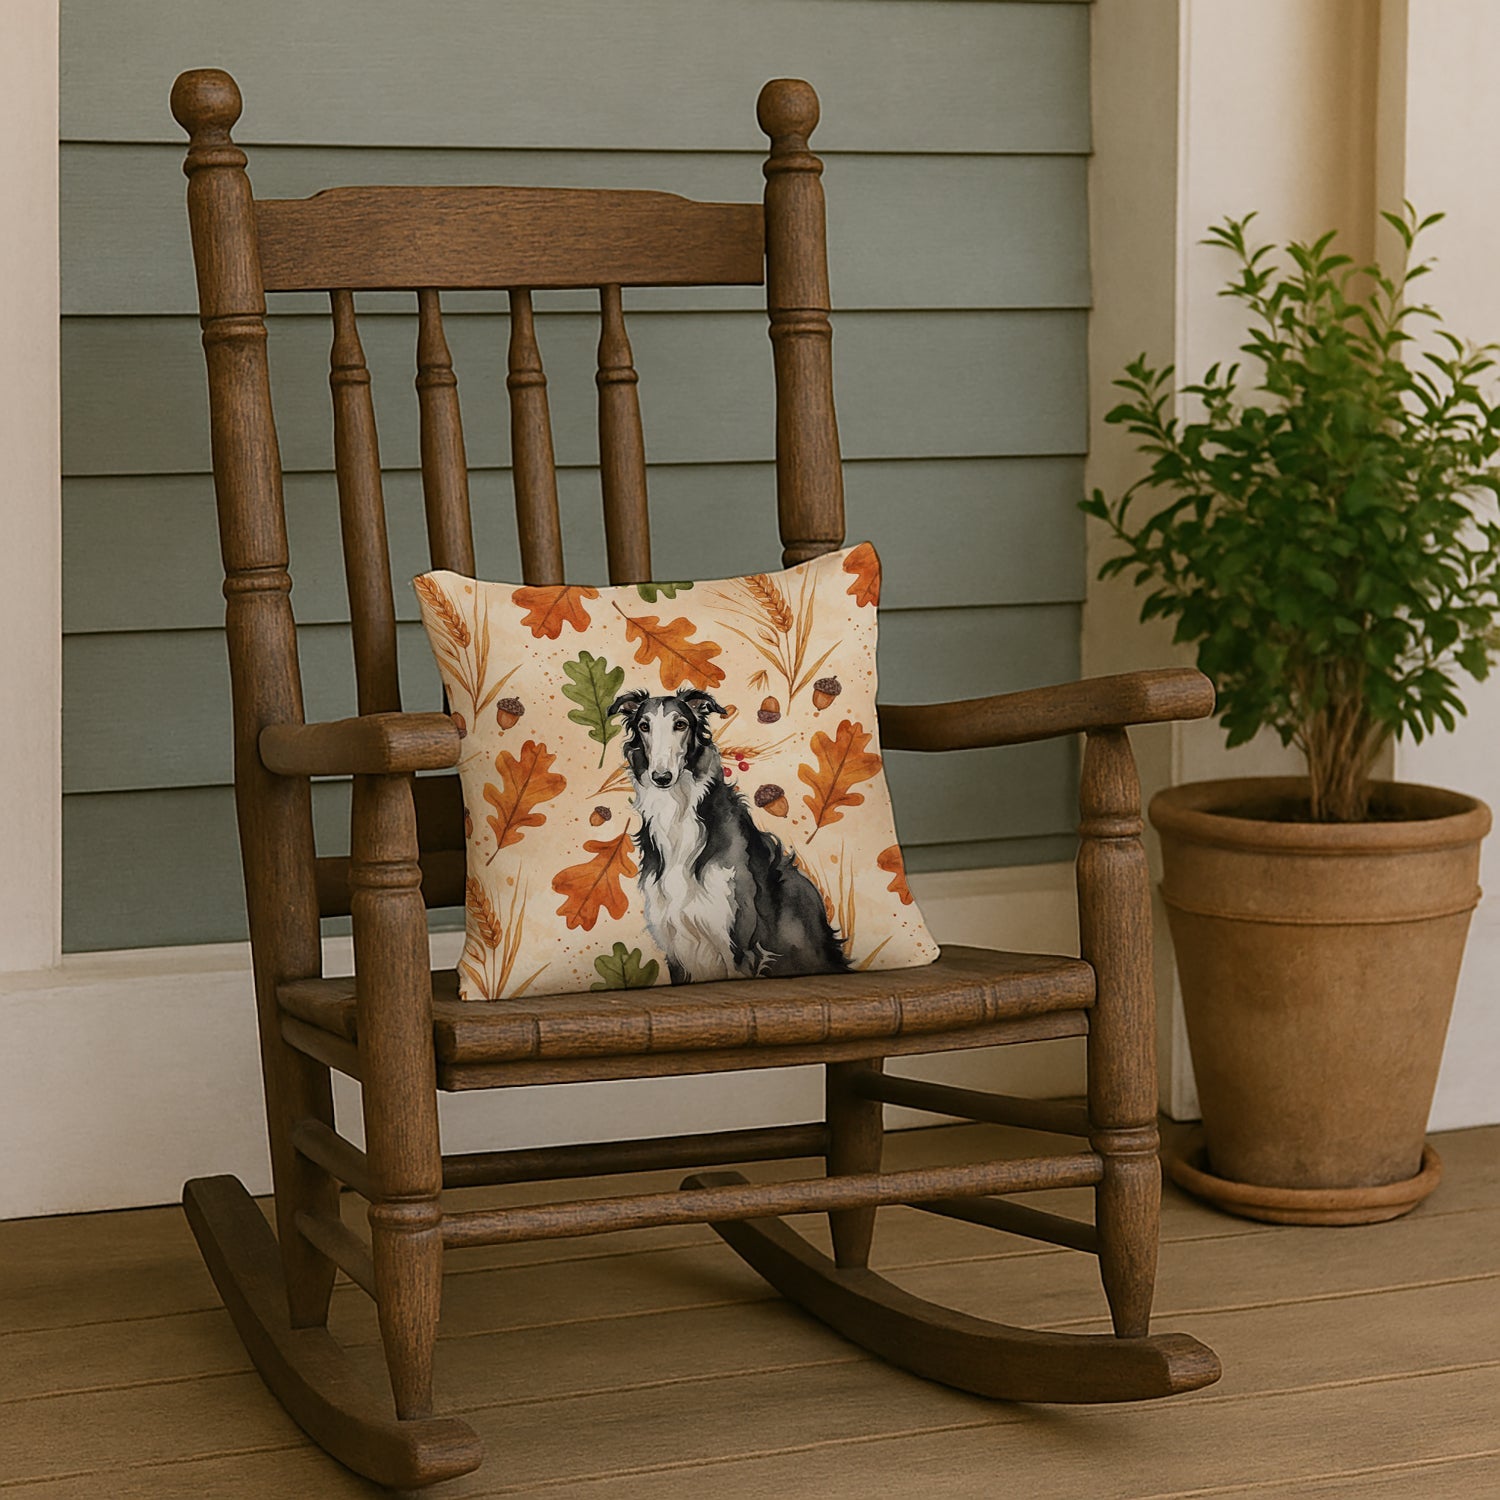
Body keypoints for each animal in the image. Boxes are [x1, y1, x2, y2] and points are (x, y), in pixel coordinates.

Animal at [607, 686, 850, 984]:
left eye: (680, 724)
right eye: (644, 726)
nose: (661, 777)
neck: (678, 815)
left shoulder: (739, 948)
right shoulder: (675, 949)